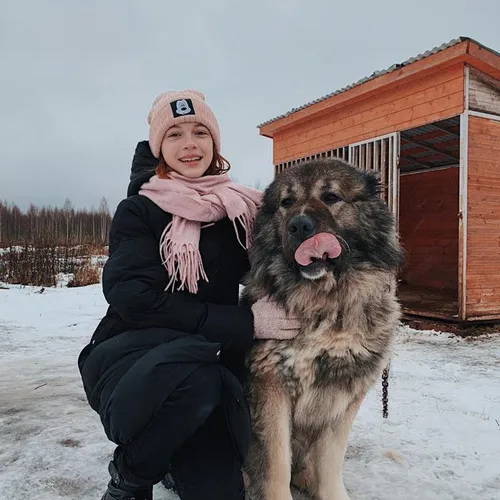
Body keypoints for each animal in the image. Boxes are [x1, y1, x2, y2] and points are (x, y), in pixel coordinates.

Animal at [240, 158, 404, 498]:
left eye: (331, 197)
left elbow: (330, 463)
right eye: (286, 203)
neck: (326, 305)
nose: (299, 225)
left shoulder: (344, 395)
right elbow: (276, 463)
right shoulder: (272, 385)